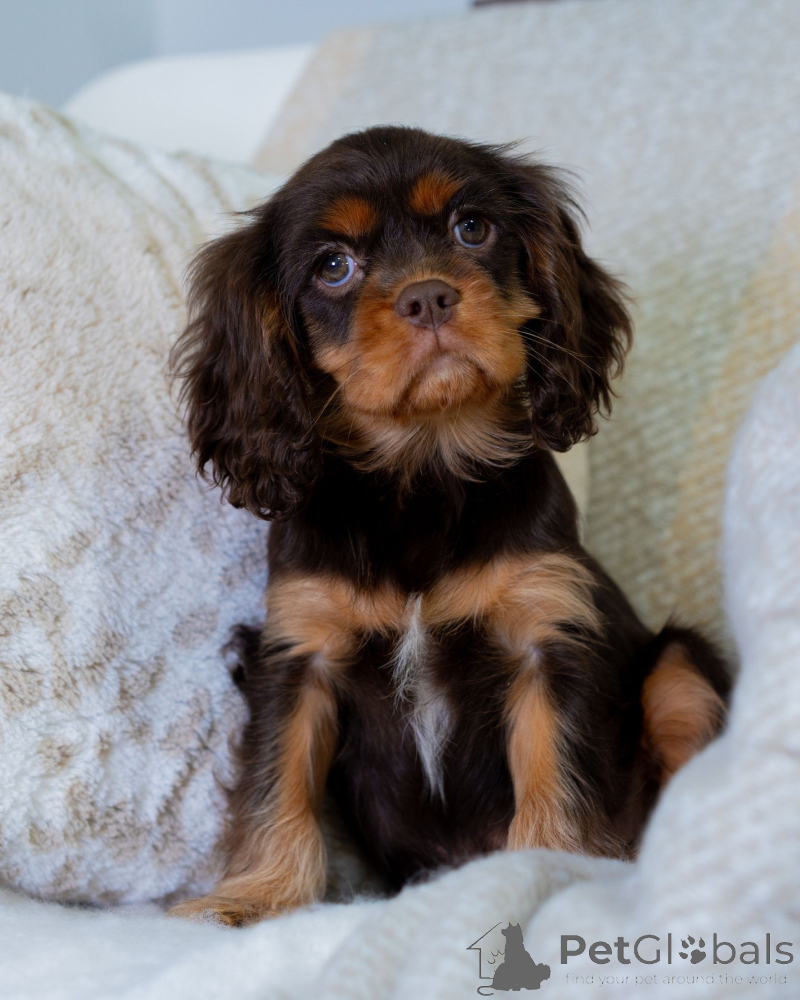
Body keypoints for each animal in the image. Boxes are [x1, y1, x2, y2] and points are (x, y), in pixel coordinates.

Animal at [169, 126, 729, 925]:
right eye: (333, 266)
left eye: (472, 228)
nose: (427, 295)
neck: (425, 469)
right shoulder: (296, 655)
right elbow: (276, 787)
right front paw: (252, 898)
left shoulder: (546, 639)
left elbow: (553, 773)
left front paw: (539, 868)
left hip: (680, 663)